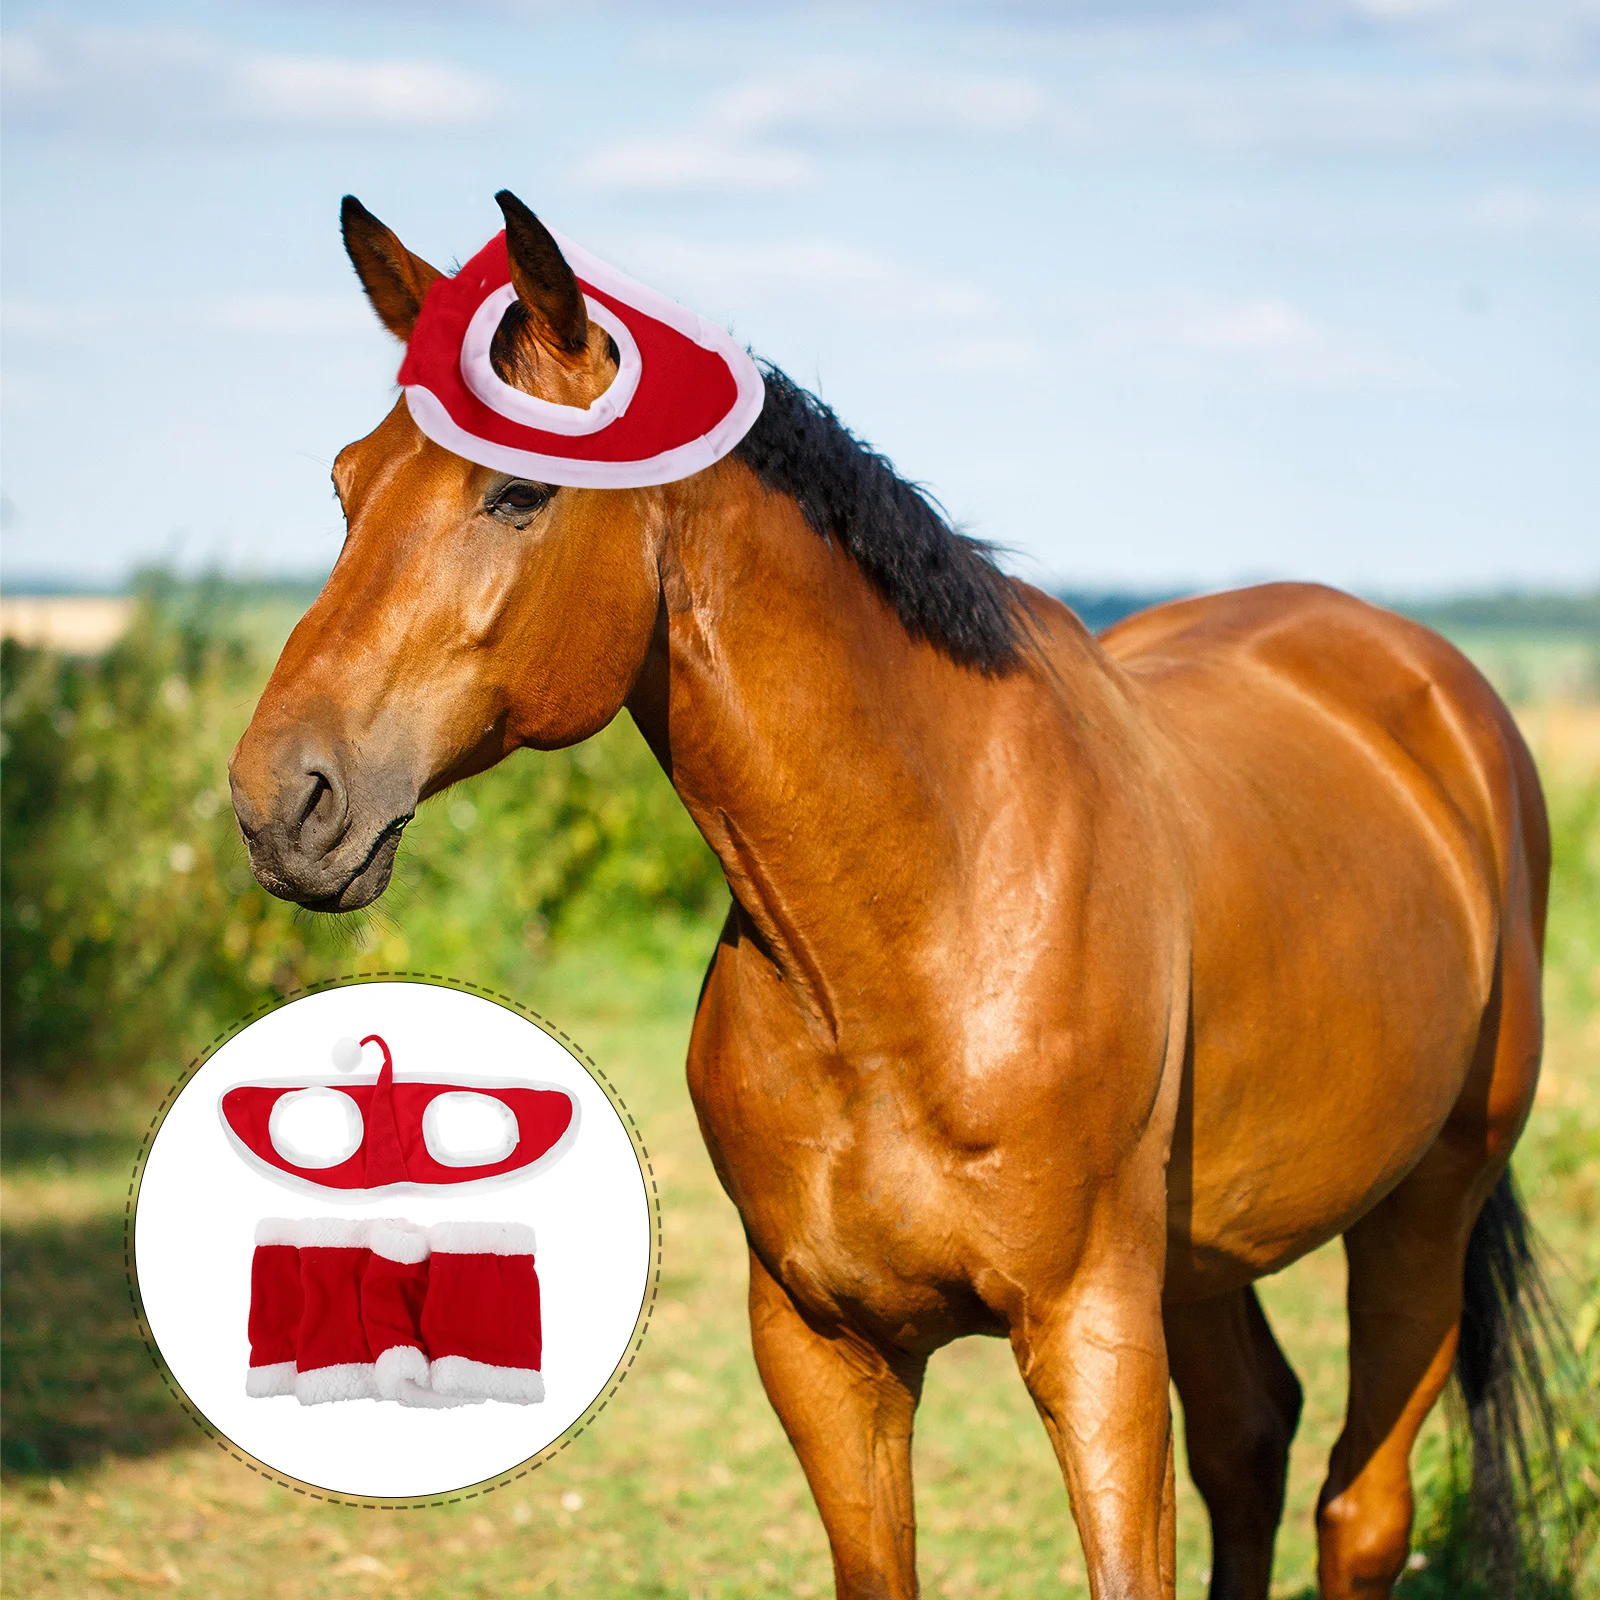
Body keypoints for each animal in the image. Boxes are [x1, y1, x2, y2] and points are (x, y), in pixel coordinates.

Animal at [230, 191, 1568, 1600]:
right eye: (346, 483)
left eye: (518, 491)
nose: (281, 800)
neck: (916, 925)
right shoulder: (824, 1349)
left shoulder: (1092, 1334)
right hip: (1209, 1256)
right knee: (1250, 1442)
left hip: (1425, 1206)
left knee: (1359, 1507)